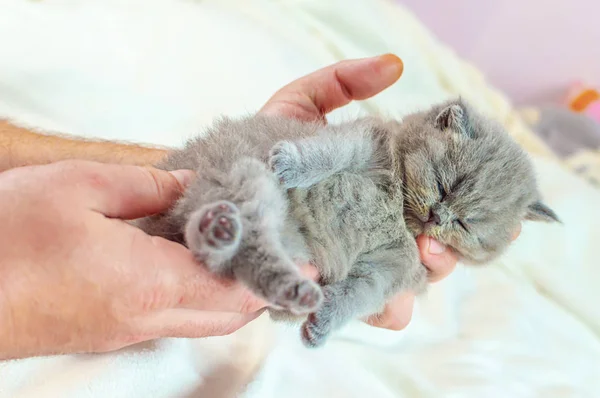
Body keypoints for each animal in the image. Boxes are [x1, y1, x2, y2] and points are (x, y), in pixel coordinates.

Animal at [135, 98, 556, 346]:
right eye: (443, 185)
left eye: (466, 225)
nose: (437, 217)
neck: (399, 214)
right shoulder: (367, 139)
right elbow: (330, 152)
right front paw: (292, 165)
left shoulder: (395, 267)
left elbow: (361, 292)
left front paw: (324, 323)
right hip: (237, 173)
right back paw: (223, 232)